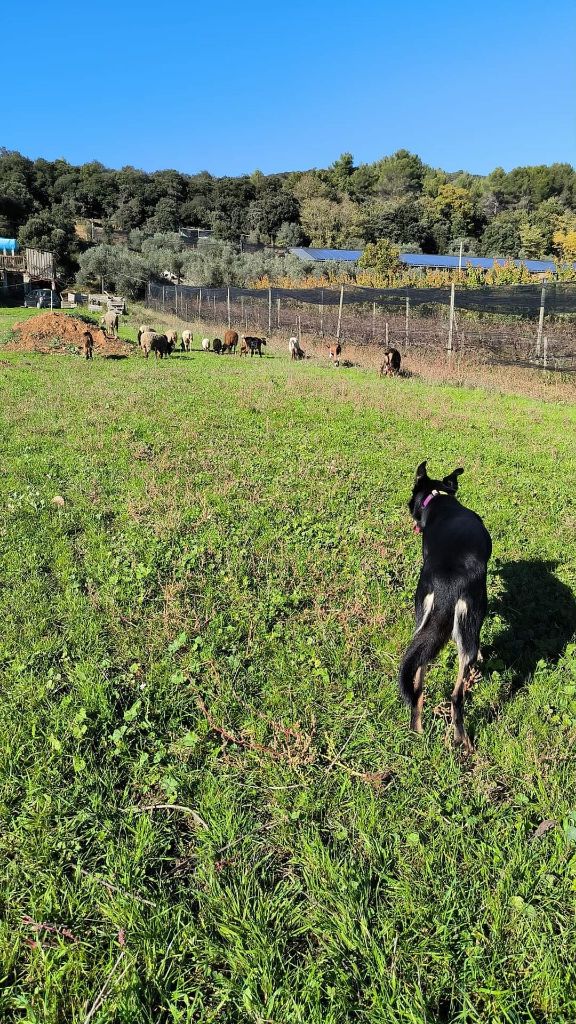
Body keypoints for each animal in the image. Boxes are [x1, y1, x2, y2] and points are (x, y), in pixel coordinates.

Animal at [397, 464, 491, 753]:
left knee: (418, 683)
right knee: (456, 695)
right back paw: (463, 740)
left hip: (422, 620)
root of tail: (446, 584)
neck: (439, 497)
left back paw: (416, 729)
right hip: (471, 623)